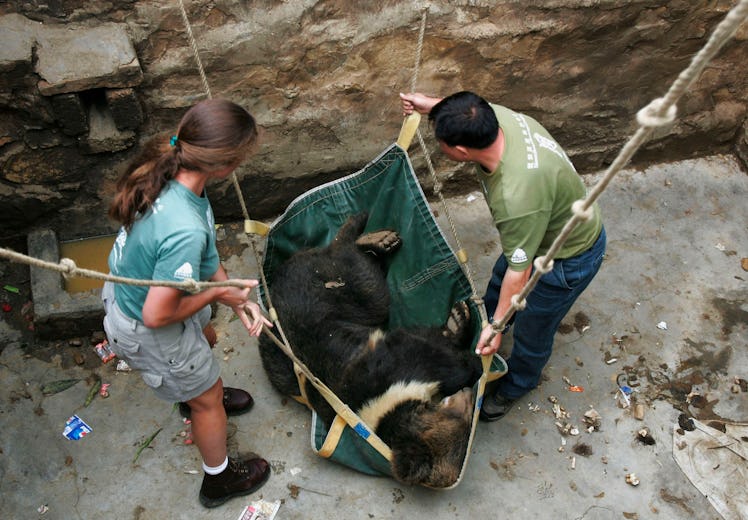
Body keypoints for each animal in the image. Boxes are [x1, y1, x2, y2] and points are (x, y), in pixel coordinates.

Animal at [258, 211, 480, 488]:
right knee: (365, 278)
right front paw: (470, 355)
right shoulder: (392, 369)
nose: (470, 395)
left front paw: (459, 320)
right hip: (343, 288)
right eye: (463, 416)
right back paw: (379, 239)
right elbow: (435, 353)